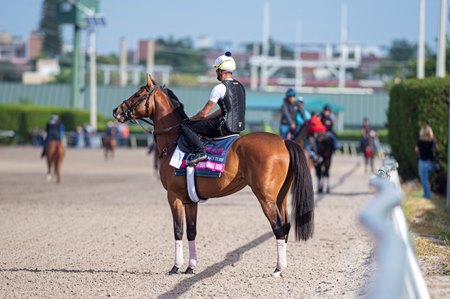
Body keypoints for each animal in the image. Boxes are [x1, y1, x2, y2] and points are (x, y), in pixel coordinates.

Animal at [112, 74, 312, 276]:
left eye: (137, 94)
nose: (116, 110)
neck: (174, 140)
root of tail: (283, 141)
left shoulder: (174, 197)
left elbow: (178, 231)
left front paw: (176, 266)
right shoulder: (189, 201)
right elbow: (191, 231)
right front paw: (190, 267)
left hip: (265, 197)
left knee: (278, 227)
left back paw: (278, 268)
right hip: (281, 196)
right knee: (286, 225)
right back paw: (282, 266)